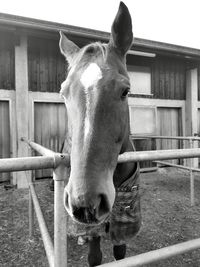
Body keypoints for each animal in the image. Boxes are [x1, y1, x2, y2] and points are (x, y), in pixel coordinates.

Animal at [58, 2, 141, 266]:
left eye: (126, 91)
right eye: (63, 92)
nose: (86, 202)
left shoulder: (124, 223)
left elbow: (120, 254)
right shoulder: (91, 228)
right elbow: (94, 256)